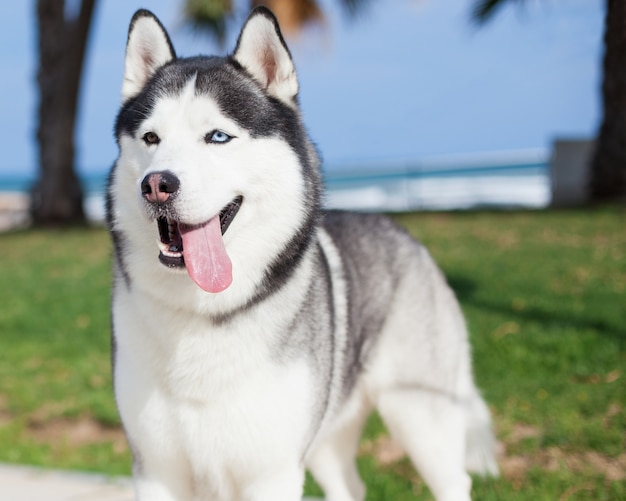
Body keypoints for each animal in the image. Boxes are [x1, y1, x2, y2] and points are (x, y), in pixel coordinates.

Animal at [108, 7, 498, 500]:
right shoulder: (156, 471)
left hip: (419, 416)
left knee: (452, 477)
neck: (208, 314)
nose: (157, 184)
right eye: (150, 138)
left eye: (217, 137)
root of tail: (400, 230)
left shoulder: (271, 474)